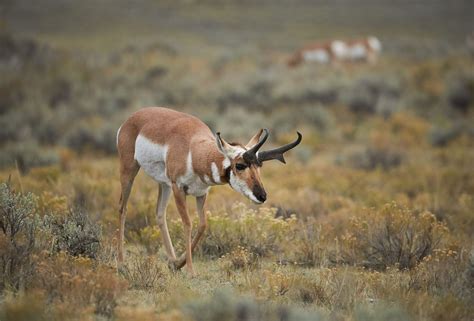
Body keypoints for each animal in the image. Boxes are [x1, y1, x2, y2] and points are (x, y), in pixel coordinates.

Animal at [115, 107, 300, 272]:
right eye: (240, 165)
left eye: (259, 166)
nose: (262, 196)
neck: (195, 151)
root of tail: (132, 117)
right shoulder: (178, 189)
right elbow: (188, 224)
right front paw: (190, 270)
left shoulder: (201, 193)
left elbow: (203, 225)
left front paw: (179, 263)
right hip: (129, 171)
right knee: (122, 208)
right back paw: (122, 263)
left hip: (164, 184)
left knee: (160, 214)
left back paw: (172, 261)